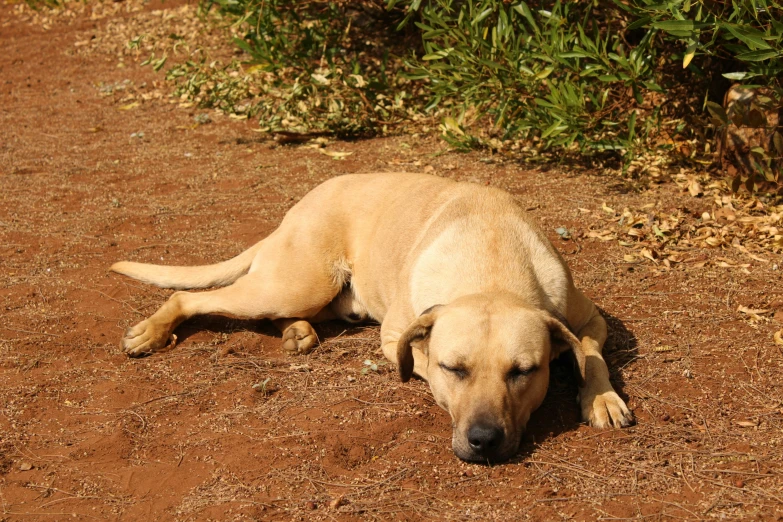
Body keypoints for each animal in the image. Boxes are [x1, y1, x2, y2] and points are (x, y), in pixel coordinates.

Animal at [112, 173, 636, 462]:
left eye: (524, 371)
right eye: (454, 369)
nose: (484, 441)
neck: (491, 267)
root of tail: (291, 214)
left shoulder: (591, 320)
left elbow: (591, 355)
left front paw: (602, 399)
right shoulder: (395, 337)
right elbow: (414, 359)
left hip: (311, 295)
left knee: (285, 315)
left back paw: (297, 333)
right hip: (296, 283)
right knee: (190, 296)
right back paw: (152, 331)